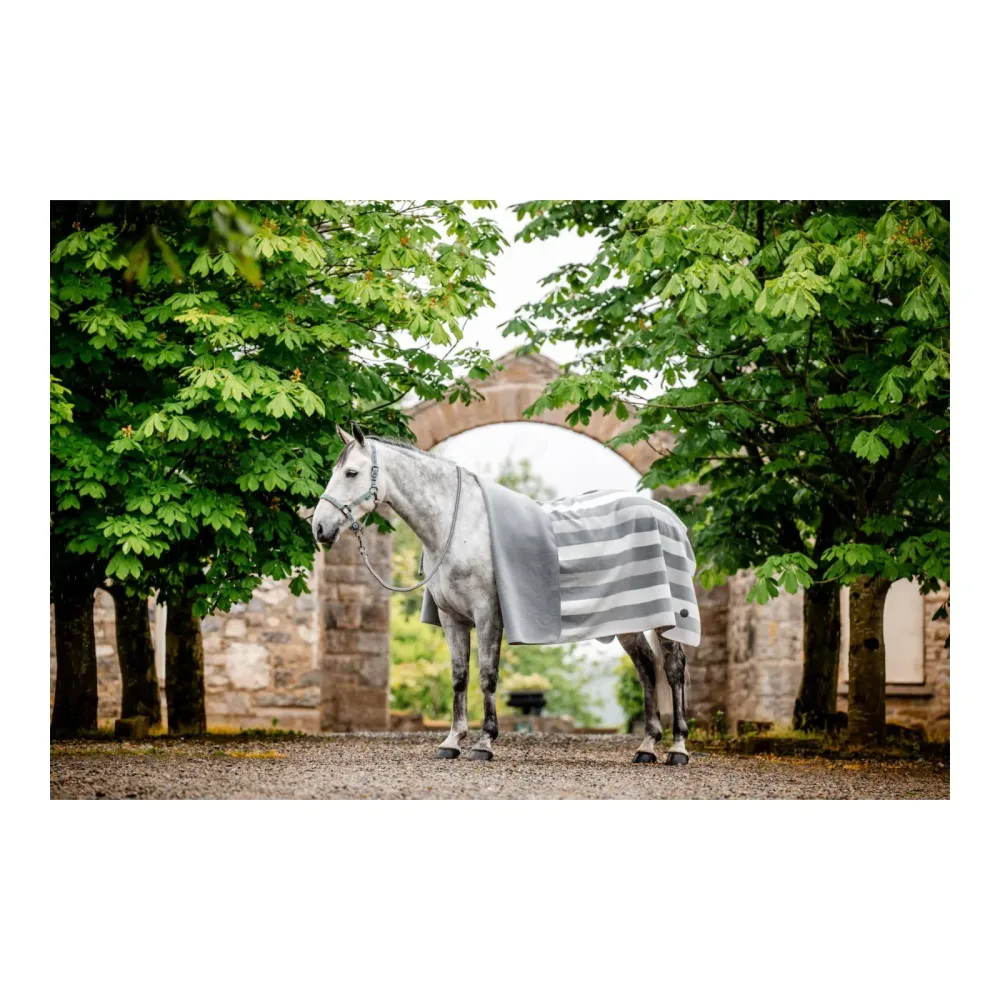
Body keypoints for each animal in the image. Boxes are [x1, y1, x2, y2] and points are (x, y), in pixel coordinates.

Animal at [312, 423, 691, 766]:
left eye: (351, 472)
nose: (319, 527)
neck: (459, 525)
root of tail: (669, 518)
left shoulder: (487, 614)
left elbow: (487, 676)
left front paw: (485, 743)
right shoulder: (452, 619)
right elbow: (459, 677)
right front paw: (452, 742)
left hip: (668, 620)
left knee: (673, 670)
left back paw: (677, 748)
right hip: (630, 619)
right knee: (646, 668)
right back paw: (646, 747)